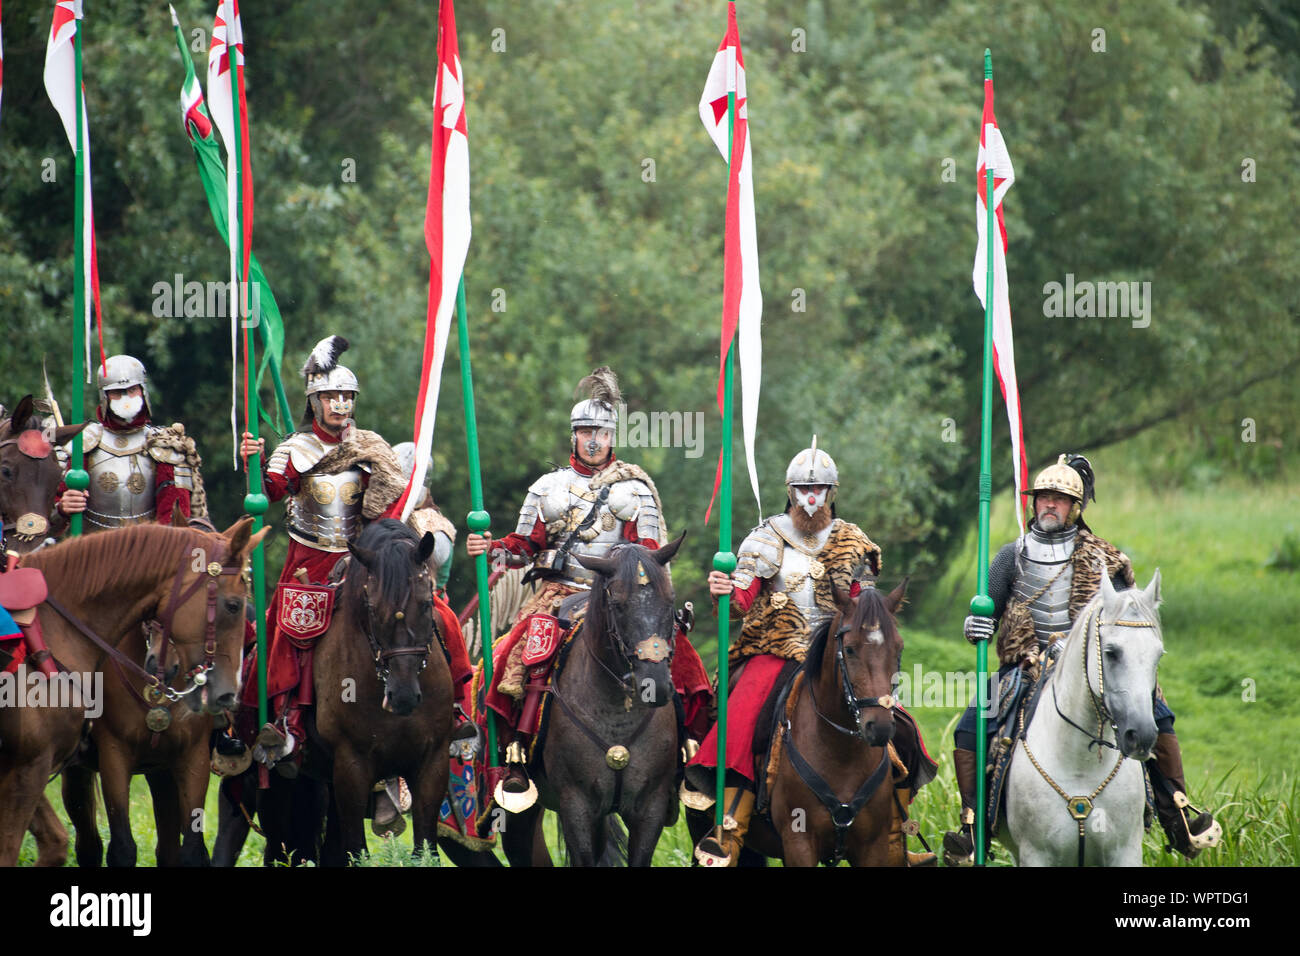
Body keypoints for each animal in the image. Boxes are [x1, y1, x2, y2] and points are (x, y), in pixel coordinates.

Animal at [0, 520, 266, 868]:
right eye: (232, 605)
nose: (226, 695)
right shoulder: (90, 757)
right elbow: (120, 848)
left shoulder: (190, 759)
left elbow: (192, 850)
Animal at [998, 567, 1164, 868]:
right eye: (1111, 653)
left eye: (1158, 655)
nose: (1141, 736)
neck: (1080, 764)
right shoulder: (1035, 854)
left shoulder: (1126, 852)